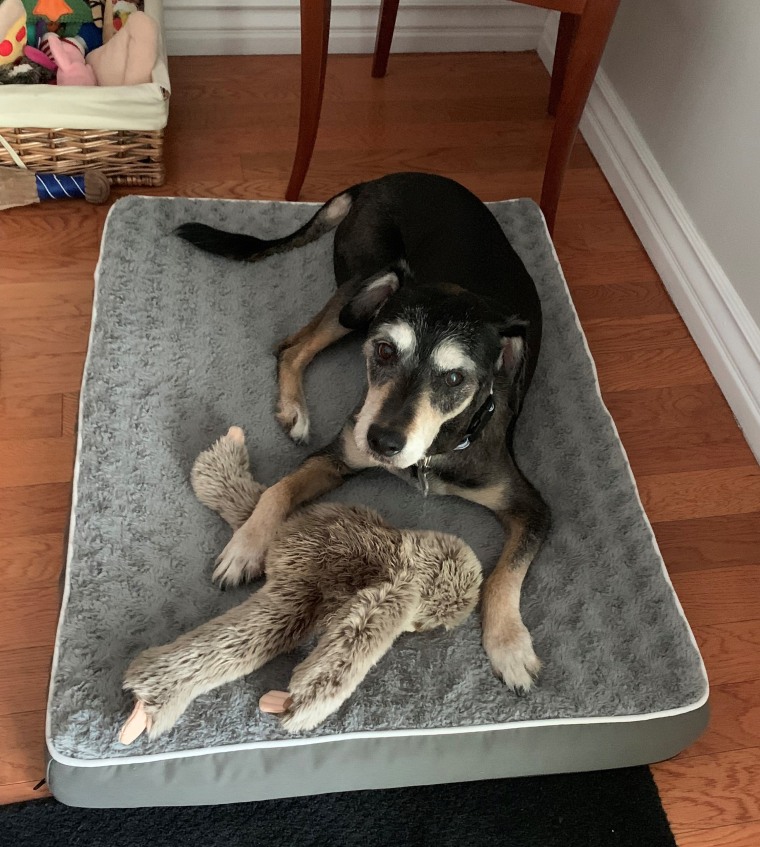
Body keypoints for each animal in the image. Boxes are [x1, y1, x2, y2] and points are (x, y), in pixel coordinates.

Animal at [175, 172, 548, 696]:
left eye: (456, 378)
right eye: (386, 350)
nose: (383, 443)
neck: (433, 452)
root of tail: (382, 178)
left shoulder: (531, 508)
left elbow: (504, 575)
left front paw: (510, 647)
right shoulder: (337, 454)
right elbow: (276, 490)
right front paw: (246, 547)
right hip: (359, 293)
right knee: (292, 346)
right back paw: (294, 410)